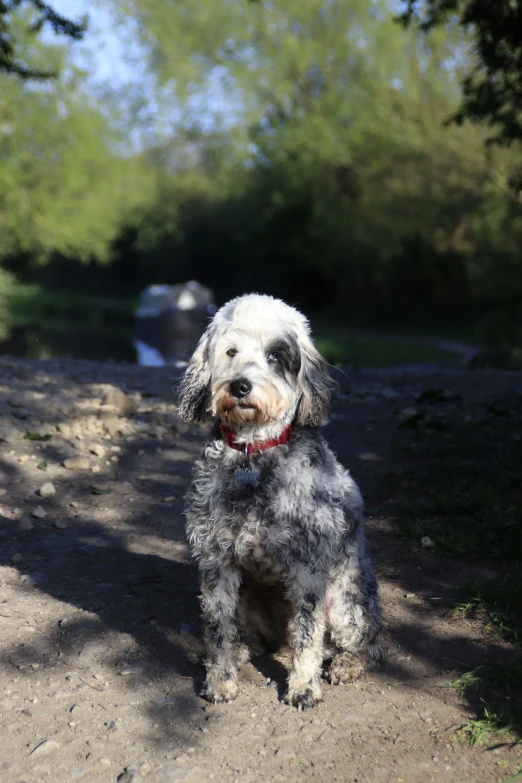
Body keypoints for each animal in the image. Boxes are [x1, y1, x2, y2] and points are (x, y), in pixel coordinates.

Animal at [177, 294, 380, 712]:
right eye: (231, 352)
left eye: (275, 356)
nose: (240, 386)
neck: (254, 454)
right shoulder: (216, 563)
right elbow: (217, 632)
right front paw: (220, 680)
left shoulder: (309, 568)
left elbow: (307, 636)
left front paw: (303, 686)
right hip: (247, 600)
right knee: (250, 639)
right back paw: (243, 651)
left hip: (345, 604)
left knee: (367, 645)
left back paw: (347, 664)